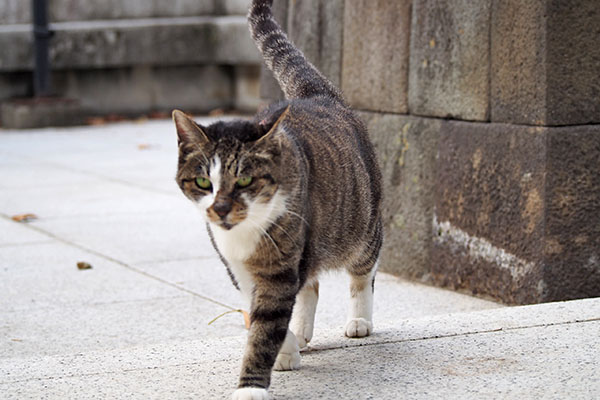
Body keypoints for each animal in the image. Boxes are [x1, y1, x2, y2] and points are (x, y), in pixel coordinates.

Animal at [171, 1, 382, 398]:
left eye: (245, 179)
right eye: (204, 181)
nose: (220, 209)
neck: (245, 233)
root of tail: (317, 95)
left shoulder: (282, 266)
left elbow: (267, 322)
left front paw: (251, 387)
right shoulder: (238, 268)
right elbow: (261, 314)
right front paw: (286, 350)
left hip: (360, 223)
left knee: (363, 272)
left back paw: (360, 319)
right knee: (311, 283)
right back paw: (300, 332)